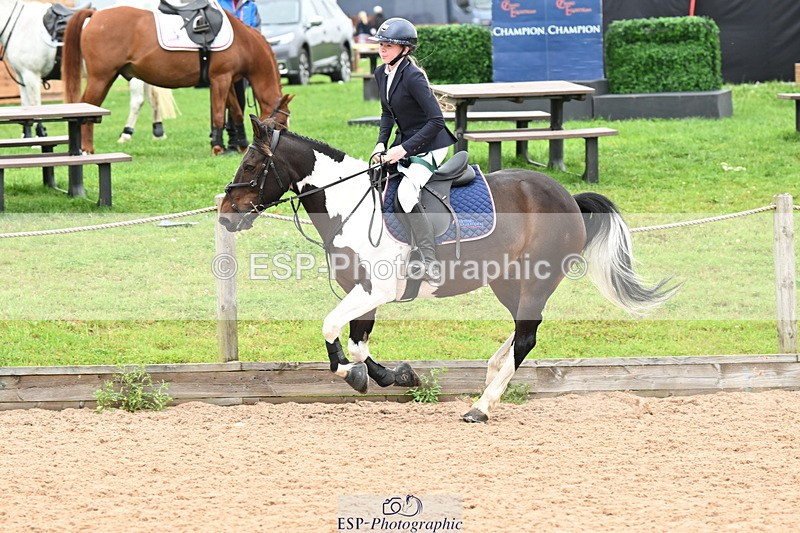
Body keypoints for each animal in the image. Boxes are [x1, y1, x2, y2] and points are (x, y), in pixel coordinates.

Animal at [0, 0, 176, 140]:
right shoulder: (22, 77)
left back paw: (127, 133)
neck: (21, 25)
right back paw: (158, 132)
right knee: (153, 98)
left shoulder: (31, 75)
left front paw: (40, 135)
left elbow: (35, 106)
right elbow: (25, 105)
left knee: (137, 101)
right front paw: (27, 136)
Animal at [61, 4, 289, 155]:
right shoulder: (221, 79)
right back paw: (87, 149)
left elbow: (236, 111)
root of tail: (96, 14)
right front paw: (217, 147)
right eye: (282, 121)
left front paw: (240, 144)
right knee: (88, 108)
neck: (243, 41)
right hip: (101, 78)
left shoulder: (228, 80)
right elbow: (218, 114)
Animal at [218, 115, 680, 423]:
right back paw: (491, 373)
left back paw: (482, 406)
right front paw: (395, 376)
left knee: (527, 336)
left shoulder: (374, 290)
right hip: (507, 281)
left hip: (536, 278)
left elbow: (332, 329)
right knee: (520, 331)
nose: (225, 215)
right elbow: (358, 345)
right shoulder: (364, 293)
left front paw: (357, 377)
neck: (350, 205)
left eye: (251, 167)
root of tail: (567, 196)